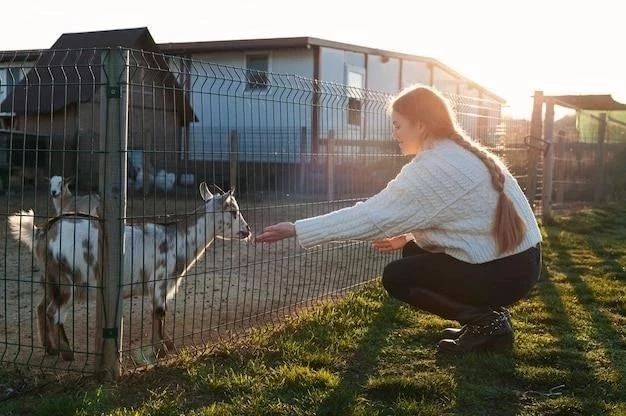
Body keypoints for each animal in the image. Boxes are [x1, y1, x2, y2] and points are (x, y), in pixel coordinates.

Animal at [8, 182, 250, 360]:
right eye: (233, 211)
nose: (247, 230)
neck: (179, 239)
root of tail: (42, 233)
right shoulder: (160, 282)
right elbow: (159, 313)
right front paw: (162, 350)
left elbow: (157, 315)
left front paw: (167, 346)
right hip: (67, 280)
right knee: (53, 312)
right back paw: (67, 353)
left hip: (49, 278)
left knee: (41, 308)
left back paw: (50, 348)